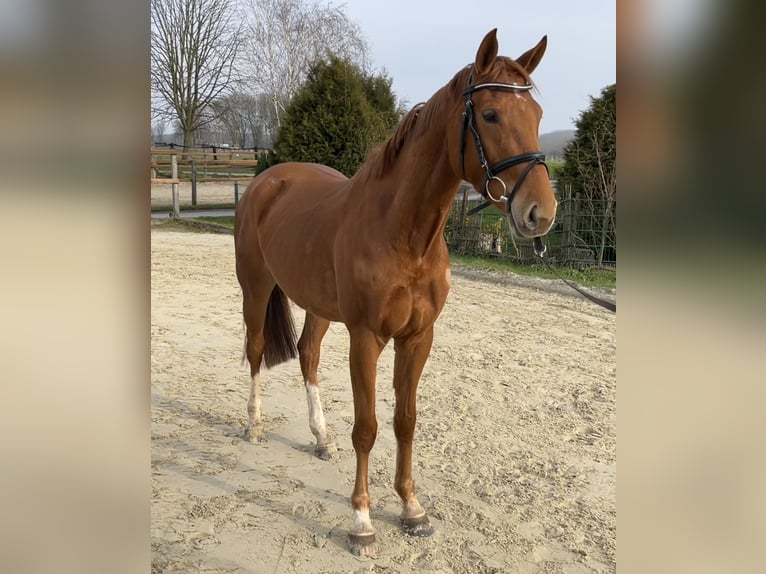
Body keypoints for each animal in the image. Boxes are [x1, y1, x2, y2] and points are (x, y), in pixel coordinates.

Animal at [234, 28, 560, 560]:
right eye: (490, 114)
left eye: (536, 115)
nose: (540, 213)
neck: (403, 234)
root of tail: (267, 180)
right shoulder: (366, 337)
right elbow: (367, 427)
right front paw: (362, 521)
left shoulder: (418, 337)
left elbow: (405, 420)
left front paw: (411, 509)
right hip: (256, 286)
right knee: (257, 349)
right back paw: (255, 426)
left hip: (318, 306)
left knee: (307, 354)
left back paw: (320, 438)